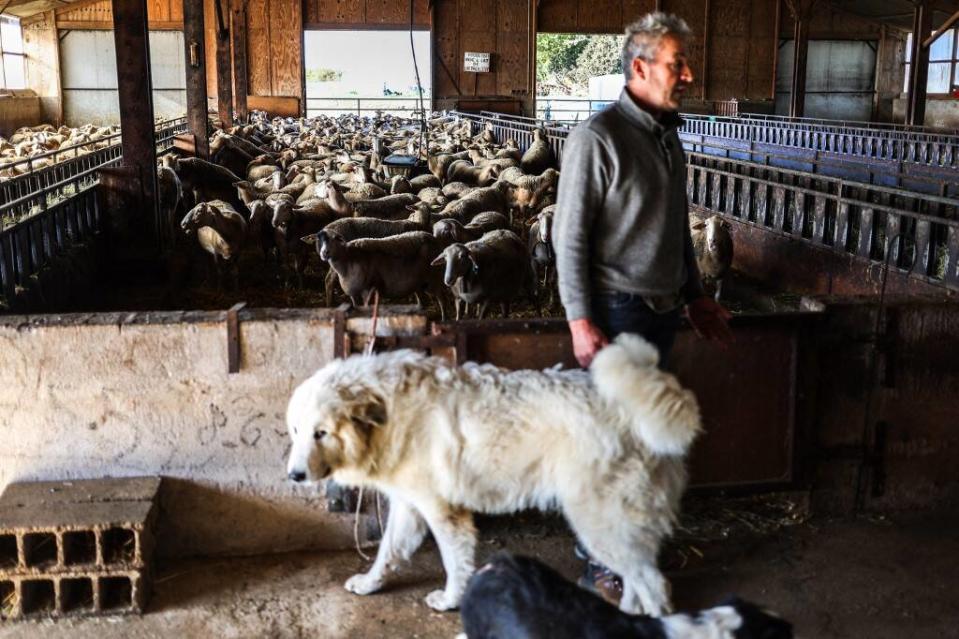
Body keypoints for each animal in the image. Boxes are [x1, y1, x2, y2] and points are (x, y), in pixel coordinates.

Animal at [288, 336, 700, 616]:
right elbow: (388, 552)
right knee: (639, 582)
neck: (389, 411)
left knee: (654, 584)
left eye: (321, 433)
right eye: (296, 430)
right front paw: (370, 583)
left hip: (600, 524)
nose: (294, 475)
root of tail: (633, 410)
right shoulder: (409, 506)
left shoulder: (442, 512)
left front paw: (450, 600)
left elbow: (454, 562)